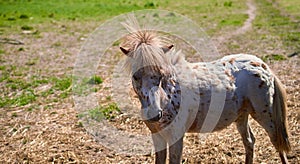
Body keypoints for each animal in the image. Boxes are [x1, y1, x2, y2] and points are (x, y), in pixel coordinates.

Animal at [119, 25, 290, 163]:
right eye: (135, 76)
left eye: (160, 75)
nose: (155, 114)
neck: (168, 94)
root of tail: (263, 65)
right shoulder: (157, 136)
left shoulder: (176, 138)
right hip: (241, 116)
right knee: (249, 141)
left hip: (265, 115)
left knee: (278, 144)